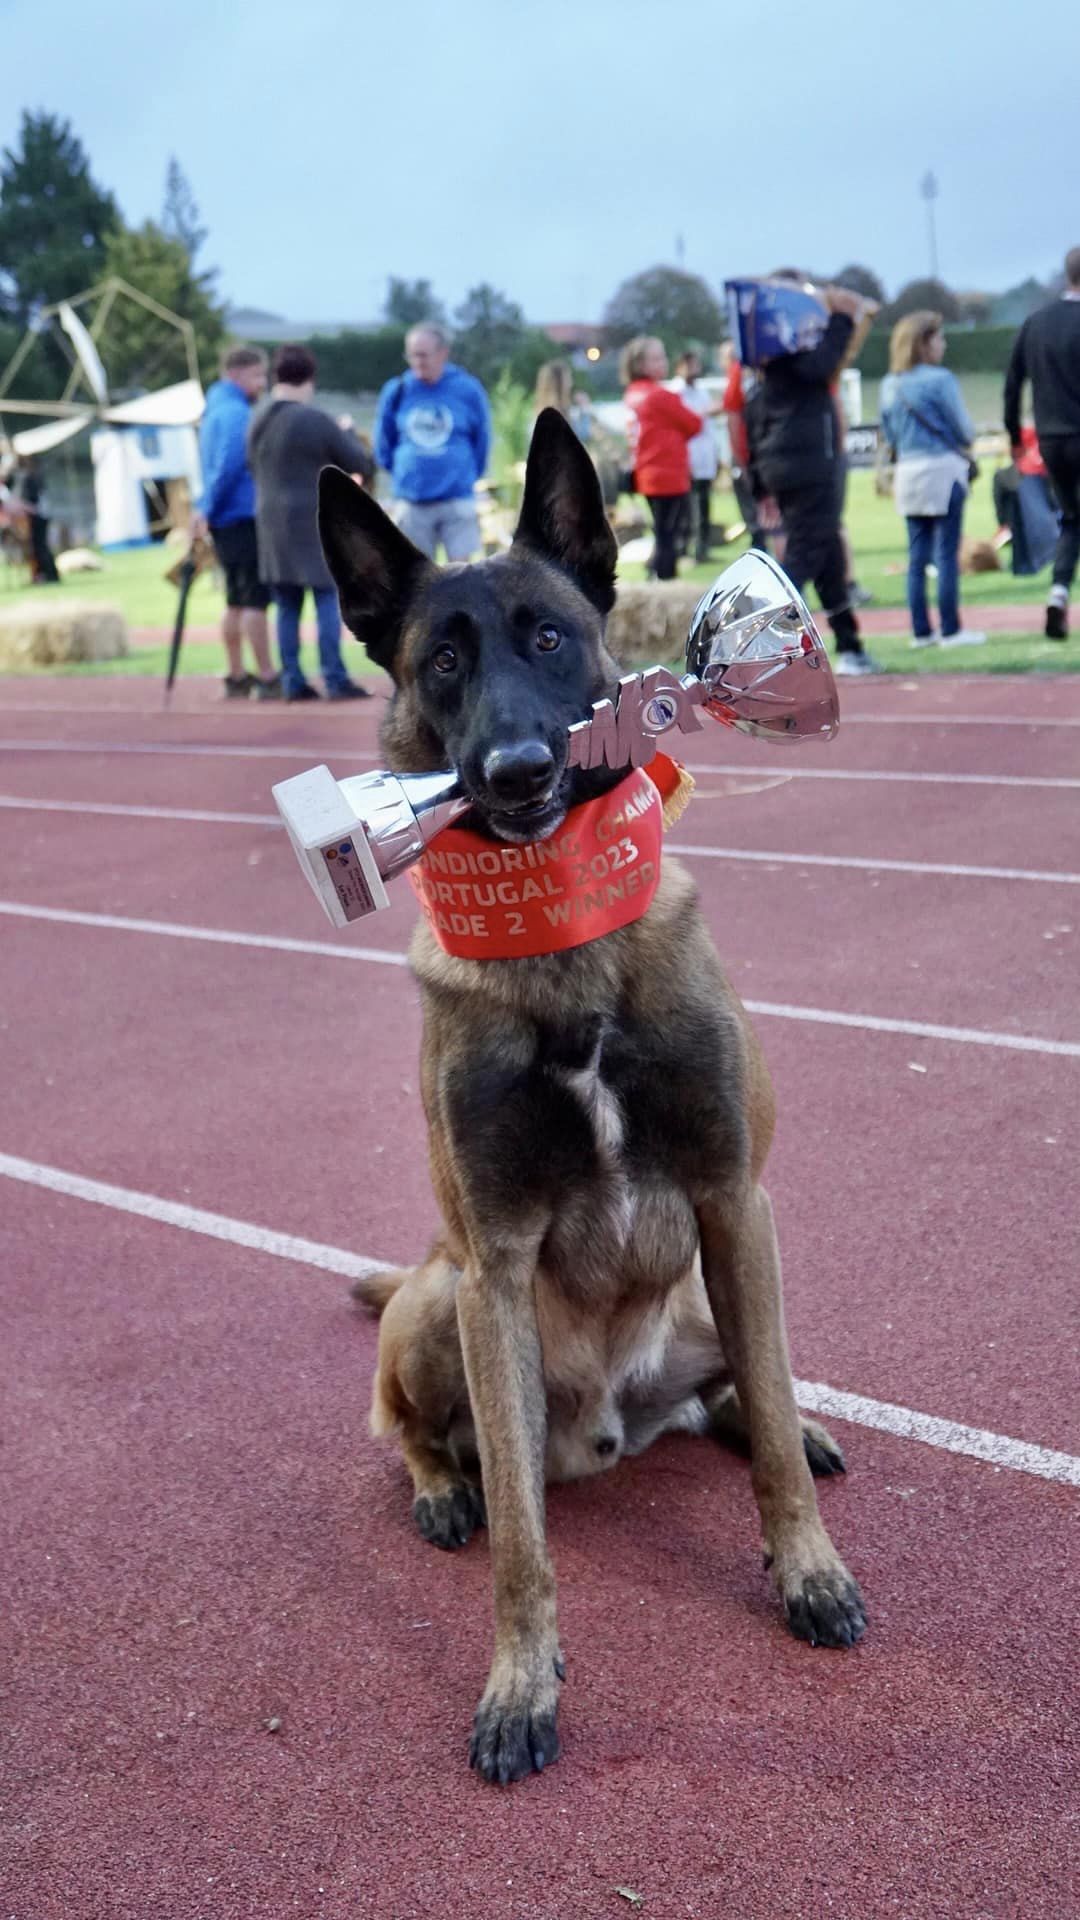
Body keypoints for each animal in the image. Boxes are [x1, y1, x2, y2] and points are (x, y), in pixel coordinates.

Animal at [315, 412, 860, 1789]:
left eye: (551, 637)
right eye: (443, 661)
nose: (513, 772)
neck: (562, 953)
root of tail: (613, 1433)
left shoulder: (733, 1202)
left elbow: (775, 1427)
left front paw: (809, 1570)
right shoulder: (494, 1267)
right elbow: (523, 1541)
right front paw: (520, 1683)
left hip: (722, 1286)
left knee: (749, 1386)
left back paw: (783, 1425)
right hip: (440, 1302)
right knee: (410, 1427)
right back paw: (438, 1486)